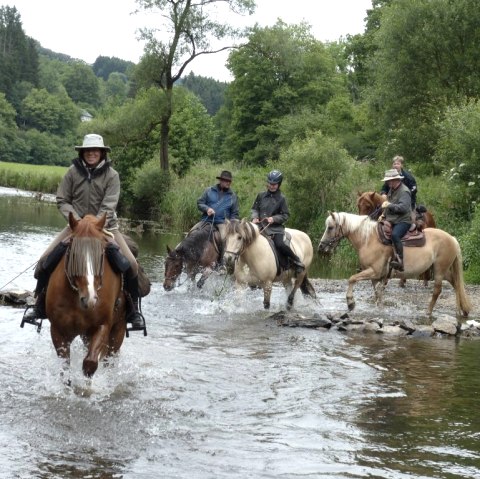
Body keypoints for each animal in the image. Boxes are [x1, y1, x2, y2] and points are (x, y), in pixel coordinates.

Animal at [45, 214, 126, 378]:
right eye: (73, 253)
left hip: (118, 331)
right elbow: (65, 368)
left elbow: (90, 364)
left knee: (109, 360)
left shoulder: (102, 326)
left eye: (101, 254)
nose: (90, 299)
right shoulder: (57, 330)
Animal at [316, 211, 470, 316]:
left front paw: (351, 303)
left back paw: (428, 312)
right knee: (456, 283)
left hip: (439, 270)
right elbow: (378, 294)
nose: (321, 247)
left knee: (437, 290)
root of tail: (451, 238)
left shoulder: (374, 271)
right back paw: (460, 311)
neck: (368, 240)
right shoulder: (376, 277)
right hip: (444, 270)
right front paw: (379, 310)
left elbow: (352, 278)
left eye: (330, 227)